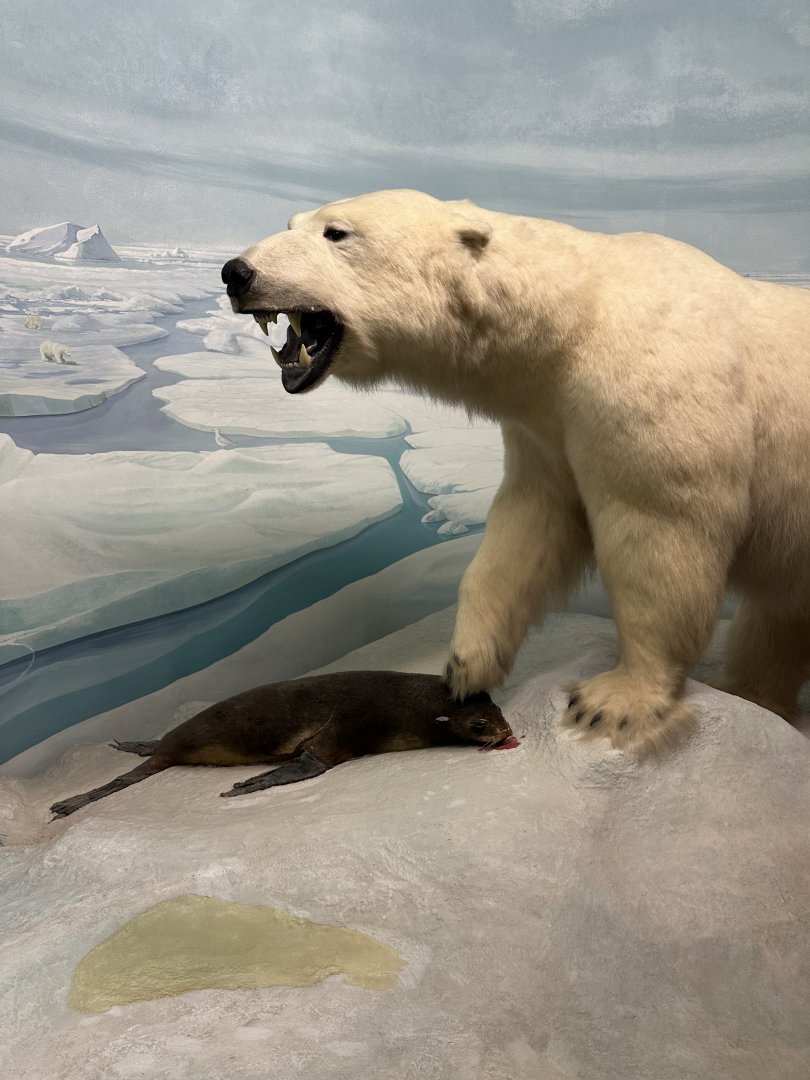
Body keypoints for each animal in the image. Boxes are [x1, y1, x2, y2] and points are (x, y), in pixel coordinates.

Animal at [222, 188, 810, 757]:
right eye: (292, 223)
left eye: (337, 232)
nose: (235, 273)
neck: (574, 321)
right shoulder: (548, 425)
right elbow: (529, 526)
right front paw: (465, 665)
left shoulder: (650, 387)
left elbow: (660, 531)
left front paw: (614, 700)